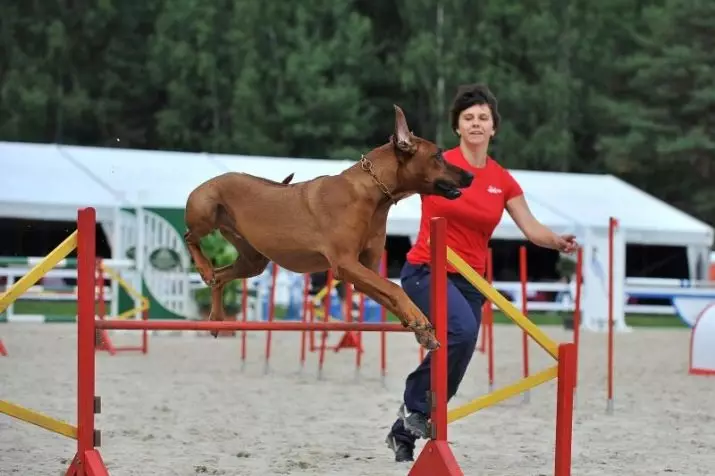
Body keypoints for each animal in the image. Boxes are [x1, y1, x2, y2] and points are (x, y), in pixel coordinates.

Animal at [185, 105, 472, 350]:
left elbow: (390, 293)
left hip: (254, 260)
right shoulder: (345, 263)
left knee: (219, 278)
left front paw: (422, 331)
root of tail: (215, 178)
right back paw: (203, 266)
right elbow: (395, 288)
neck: (374, 195)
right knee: (190, 237)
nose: (471, 175)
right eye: (438, 155)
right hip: (206, 209)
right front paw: (419, 319)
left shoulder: (364, 270)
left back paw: (216, 317)